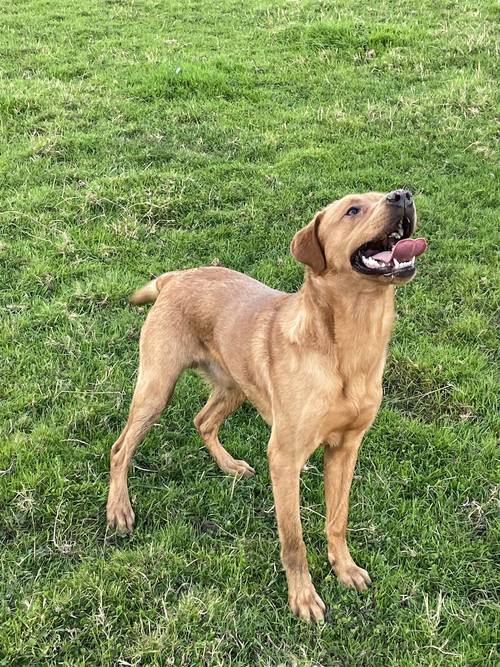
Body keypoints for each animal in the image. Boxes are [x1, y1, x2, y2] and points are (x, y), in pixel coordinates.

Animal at [105, 190, 426, 624]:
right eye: (353, 210)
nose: (403, 194)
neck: (348, 346)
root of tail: (175, 277)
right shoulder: (285, 458)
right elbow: (294, 540)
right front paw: (302, 597)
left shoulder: (345, 448)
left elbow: (337, 520)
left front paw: (344, 568)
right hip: (156, 389)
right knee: (120, 448)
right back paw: (119, 509)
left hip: (234, 386)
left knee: (202, 420)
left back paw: (229, 466)